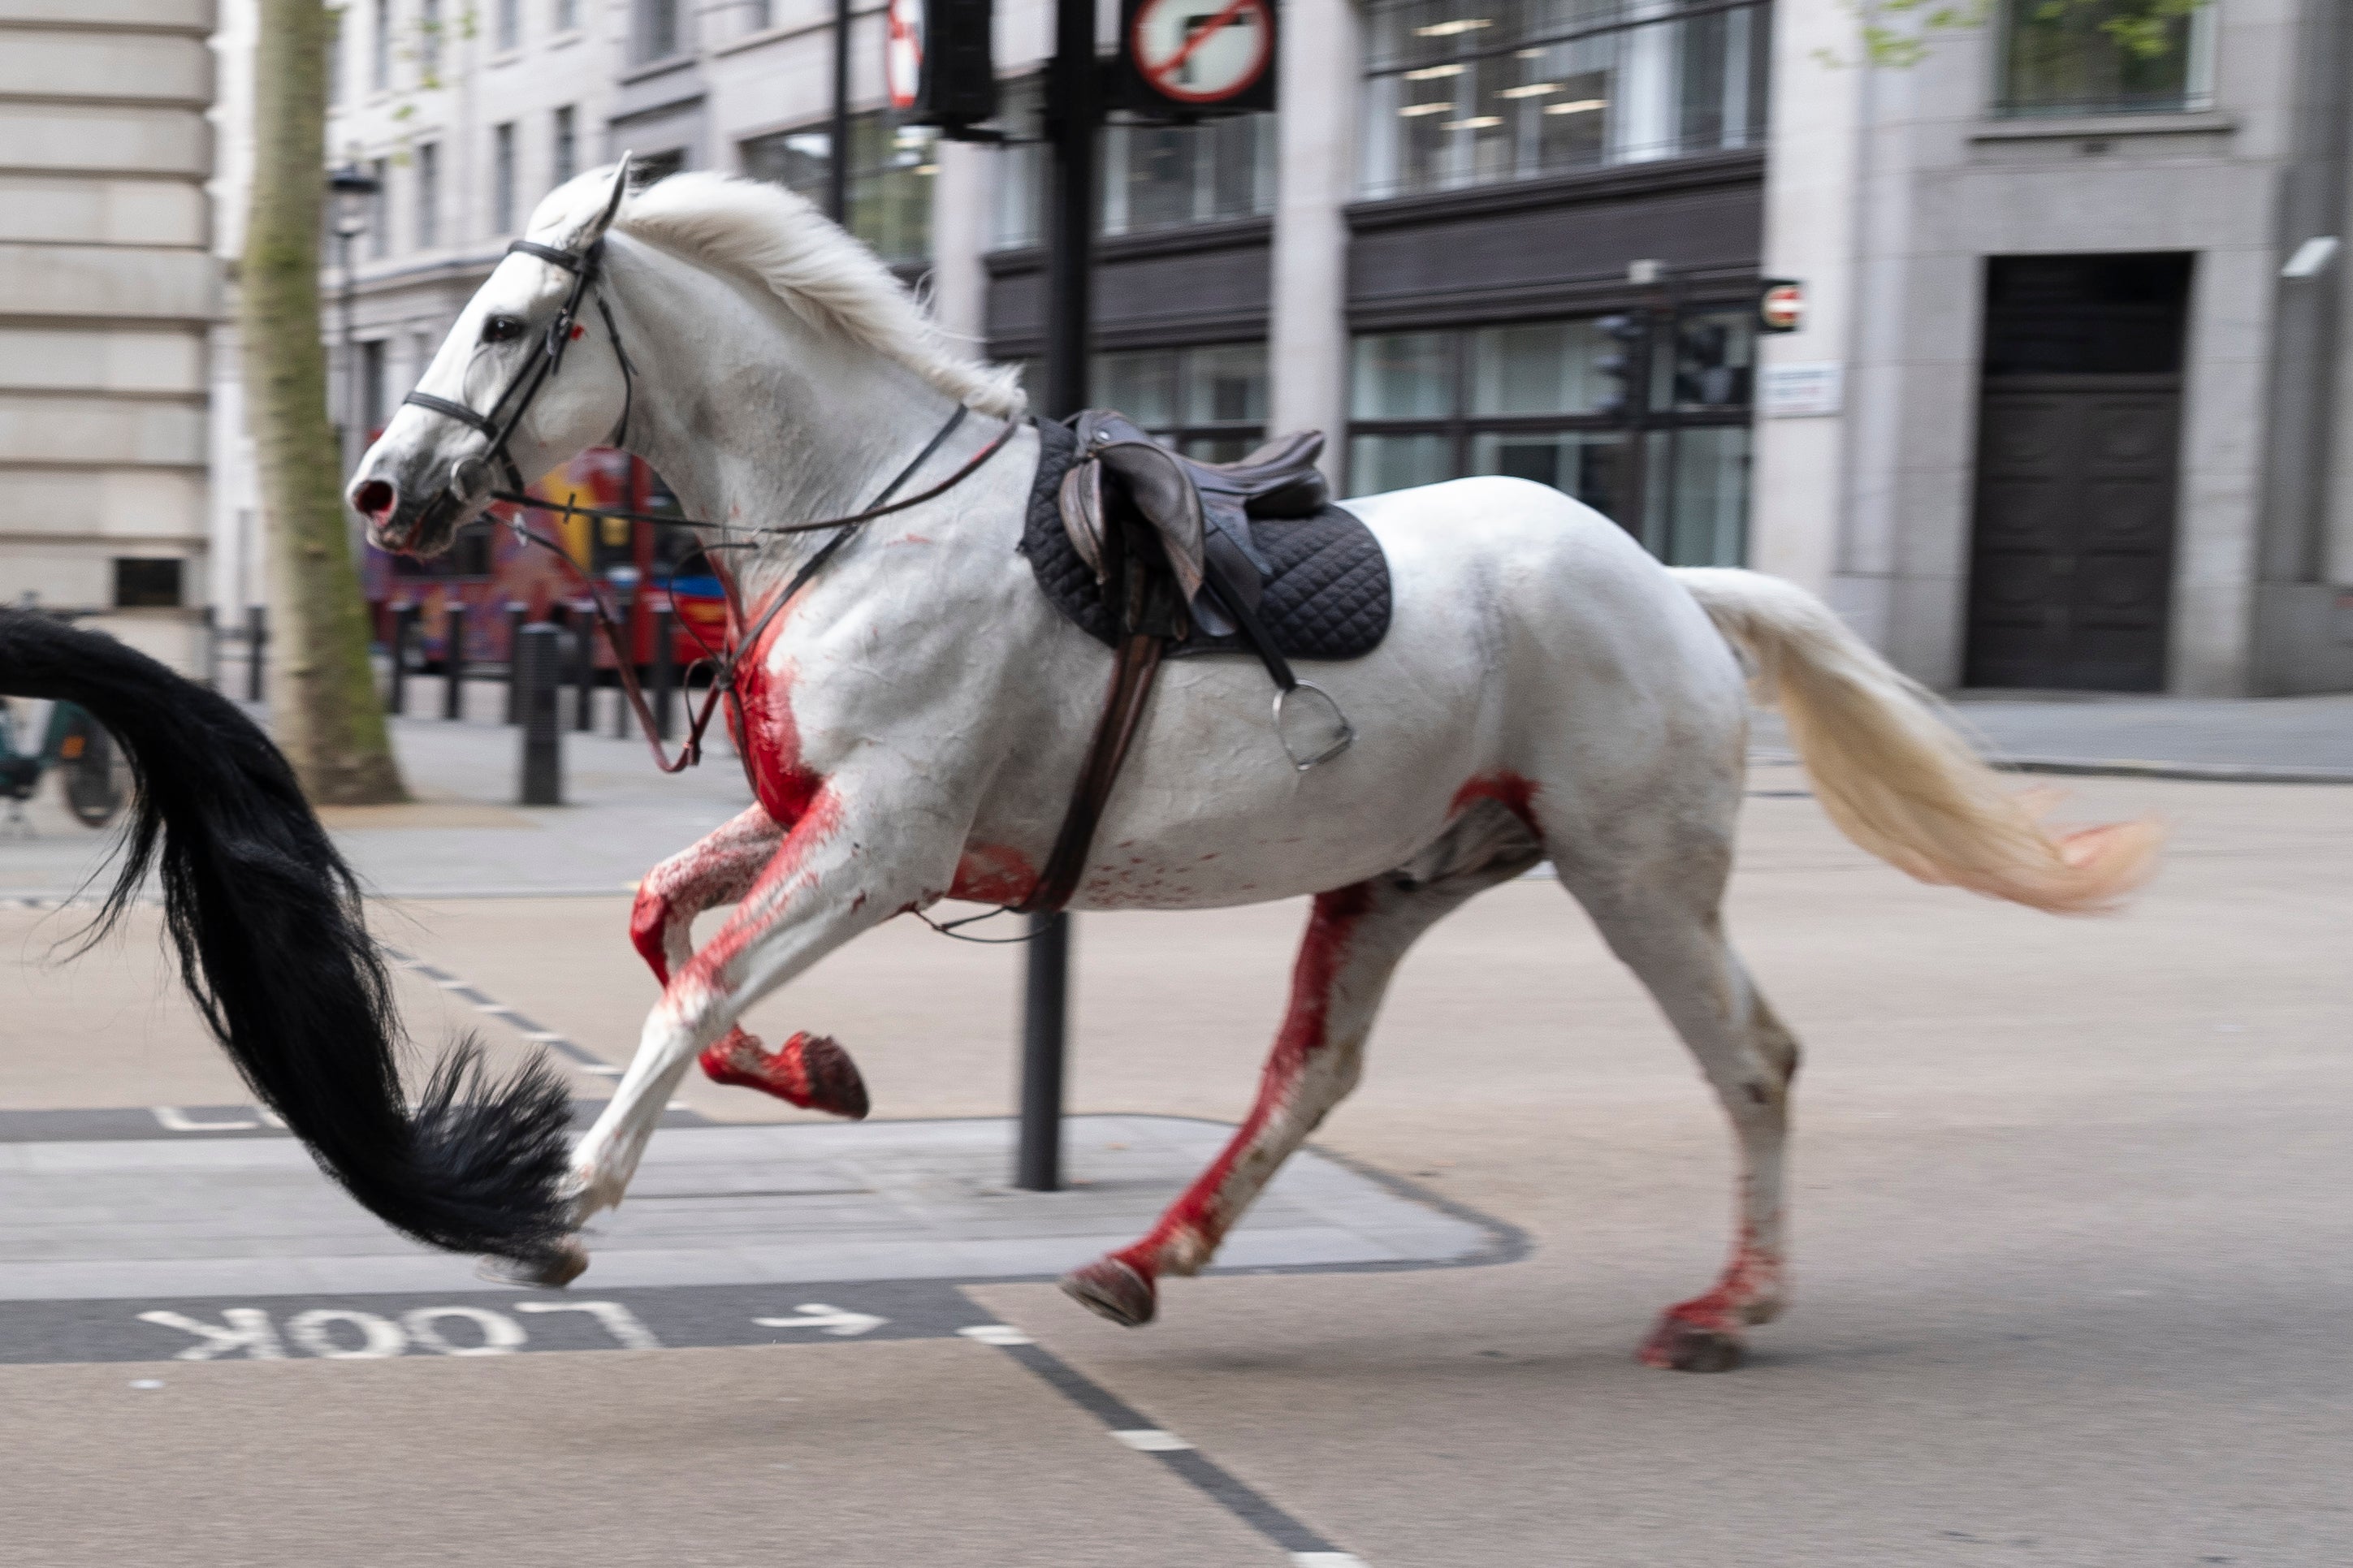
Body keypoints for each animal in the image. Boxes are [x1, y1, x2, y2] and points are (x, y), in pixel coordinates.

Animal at [341, 169, 2155, 1372]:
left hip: (1632, 870)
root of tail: (1668, 581)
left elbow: (699, 978)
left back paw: (1730, 1303)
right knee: (1311, 1073)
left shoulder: (881, 839)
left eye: (507, 321)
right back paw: (1152, 1257)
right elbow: (663, 924)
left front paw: (569, 1198)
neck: (862, 518)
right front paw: (817, 1068)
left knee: (1753, 1060)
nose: (378, 490)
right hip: (1401, 874)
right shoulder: (819, 819)